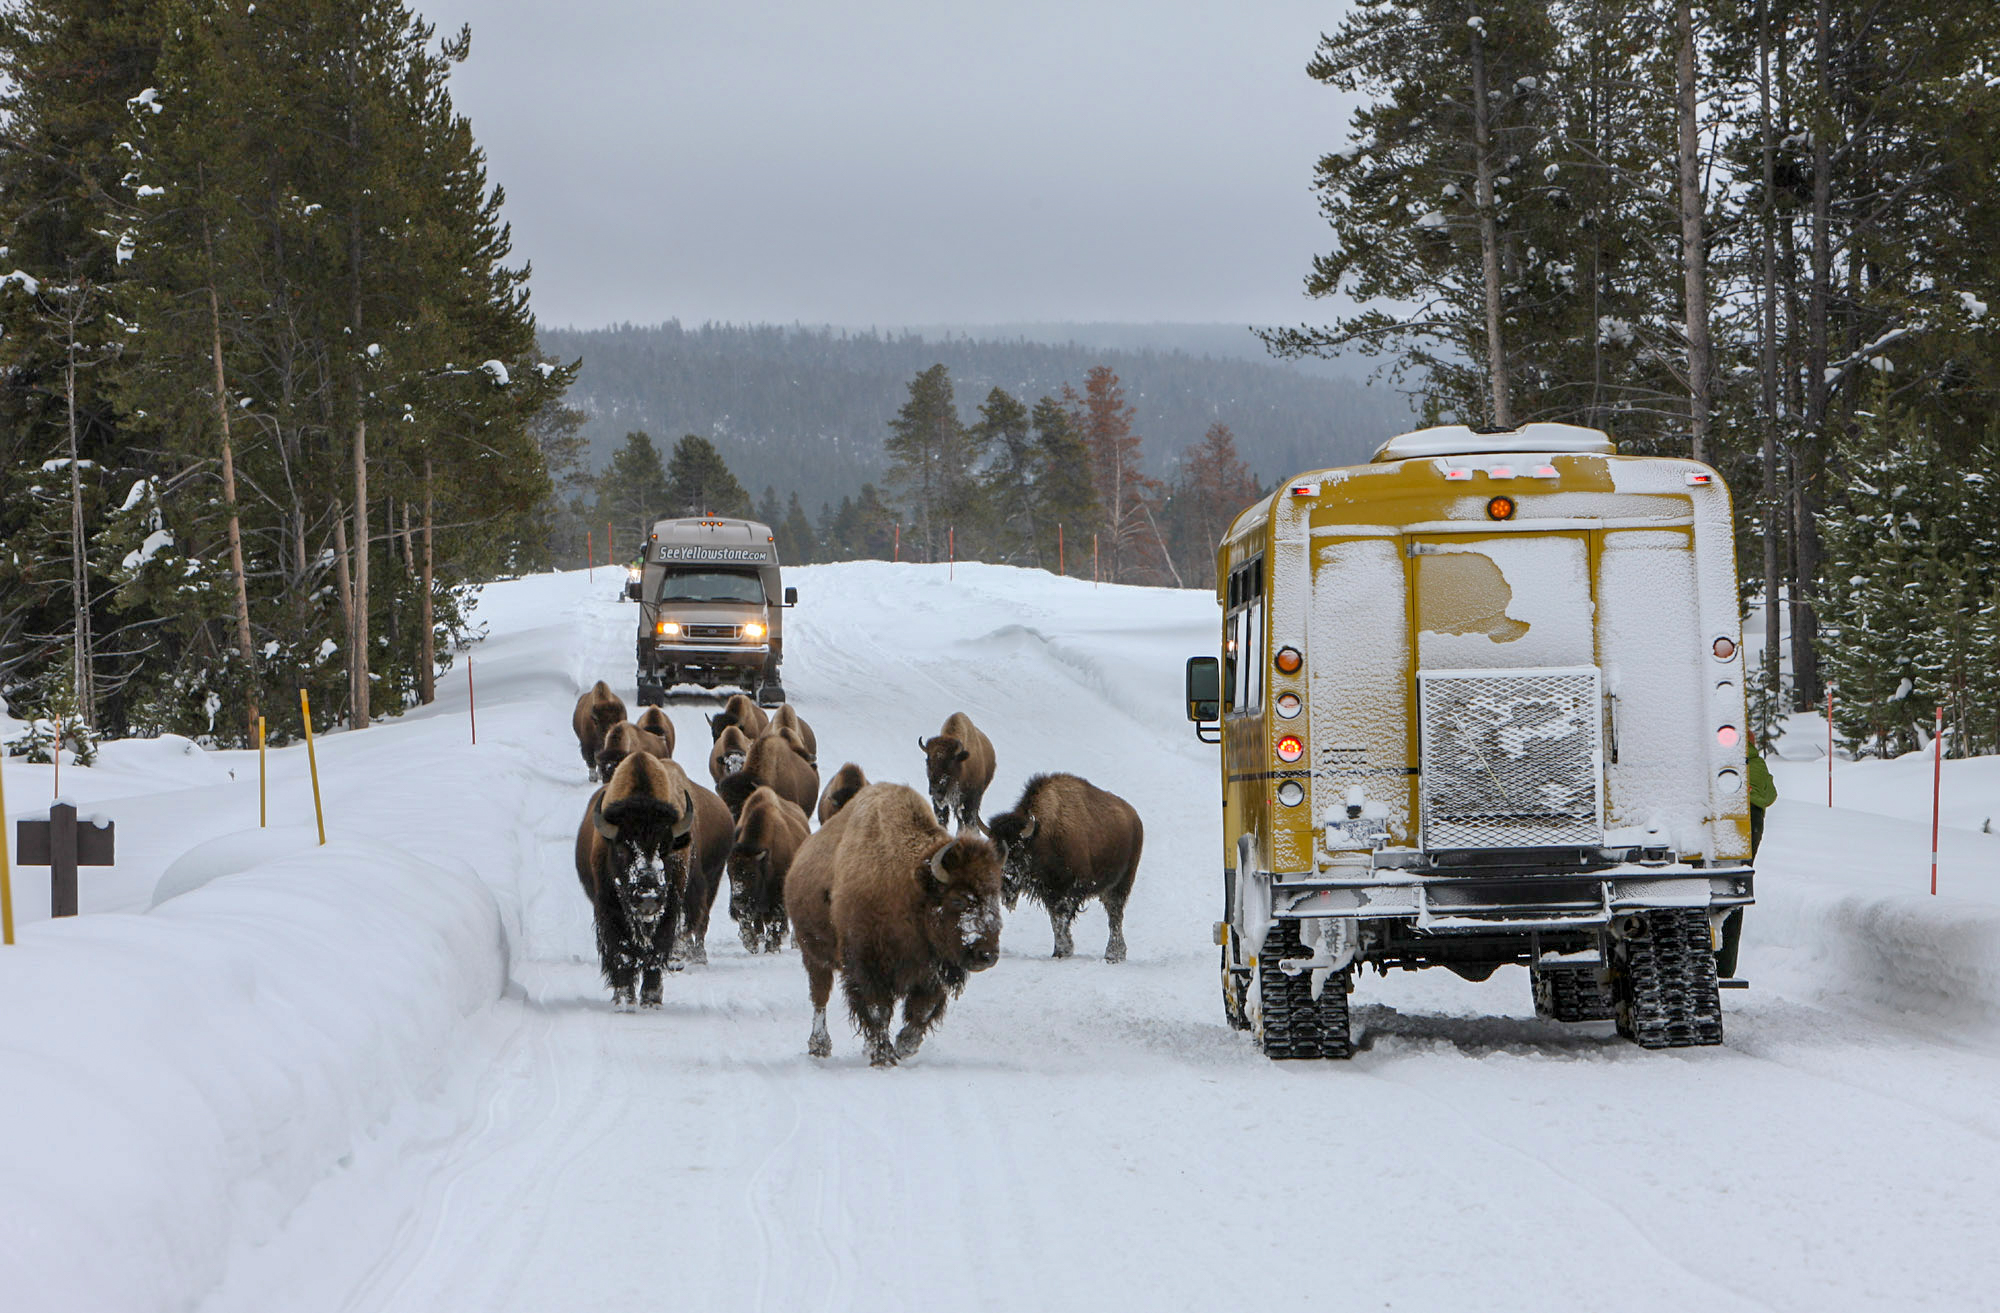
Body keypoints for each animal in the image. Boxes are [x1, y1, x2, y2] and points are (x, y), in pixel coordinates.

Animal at [728, 785, 811, 953]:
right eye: (729, 872)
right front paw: (751, 944)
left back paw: (794, 943)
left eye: (752, 874)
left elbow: (774, 921)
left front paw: (771, 947)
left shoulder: (776, 899)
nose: (737, 898)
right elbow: (747, 919)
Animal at [785, 783, 1004, 1066]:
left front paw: (904, 1046)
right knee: (819, 998)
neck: (908, 886)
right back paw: (819, 1046)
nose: (986, 955)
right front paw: (884, 1056)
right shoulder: (866, 967)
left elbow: (923, 1011)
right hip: (814, 955)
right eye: (957, 899)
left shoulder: (931, 973)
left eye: (995, 896)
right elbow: (878, 1011)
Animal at [987, 773, 1143, 963]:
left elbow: (1061, 919)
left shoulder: (1070, 890)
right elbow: (1055, 920)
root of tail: (1135, 818)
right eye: (992, 849)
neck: (1041, 834)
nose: (1004, 880)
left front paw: (1062, 951)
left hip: (1121, 883)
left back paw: (1113, 955)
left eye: (1017, 850)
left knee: (1115, 916)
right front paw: (1061, 951)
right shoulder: (1050, 892)